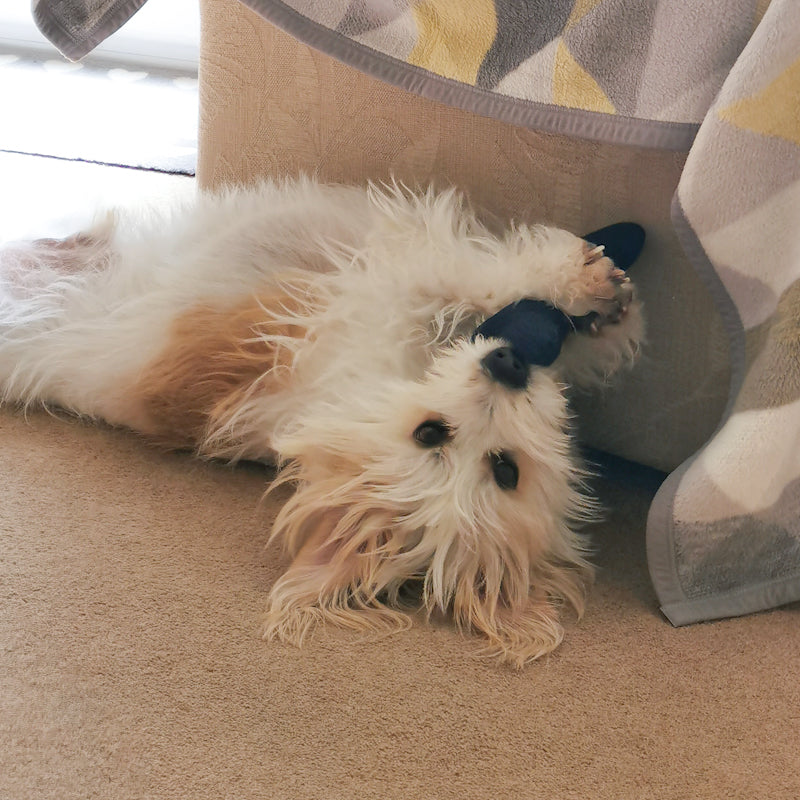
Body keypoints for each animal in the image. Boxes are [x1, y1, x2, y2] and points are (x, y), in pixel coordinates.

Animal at [0, 178, 640, 664]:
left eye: (505, 470)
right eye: (430, 433)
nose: (508, 366)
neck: (372, 393)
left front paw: (595, 317)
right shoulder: (379, 293)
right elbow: (467, 282)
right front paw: (583, 290)